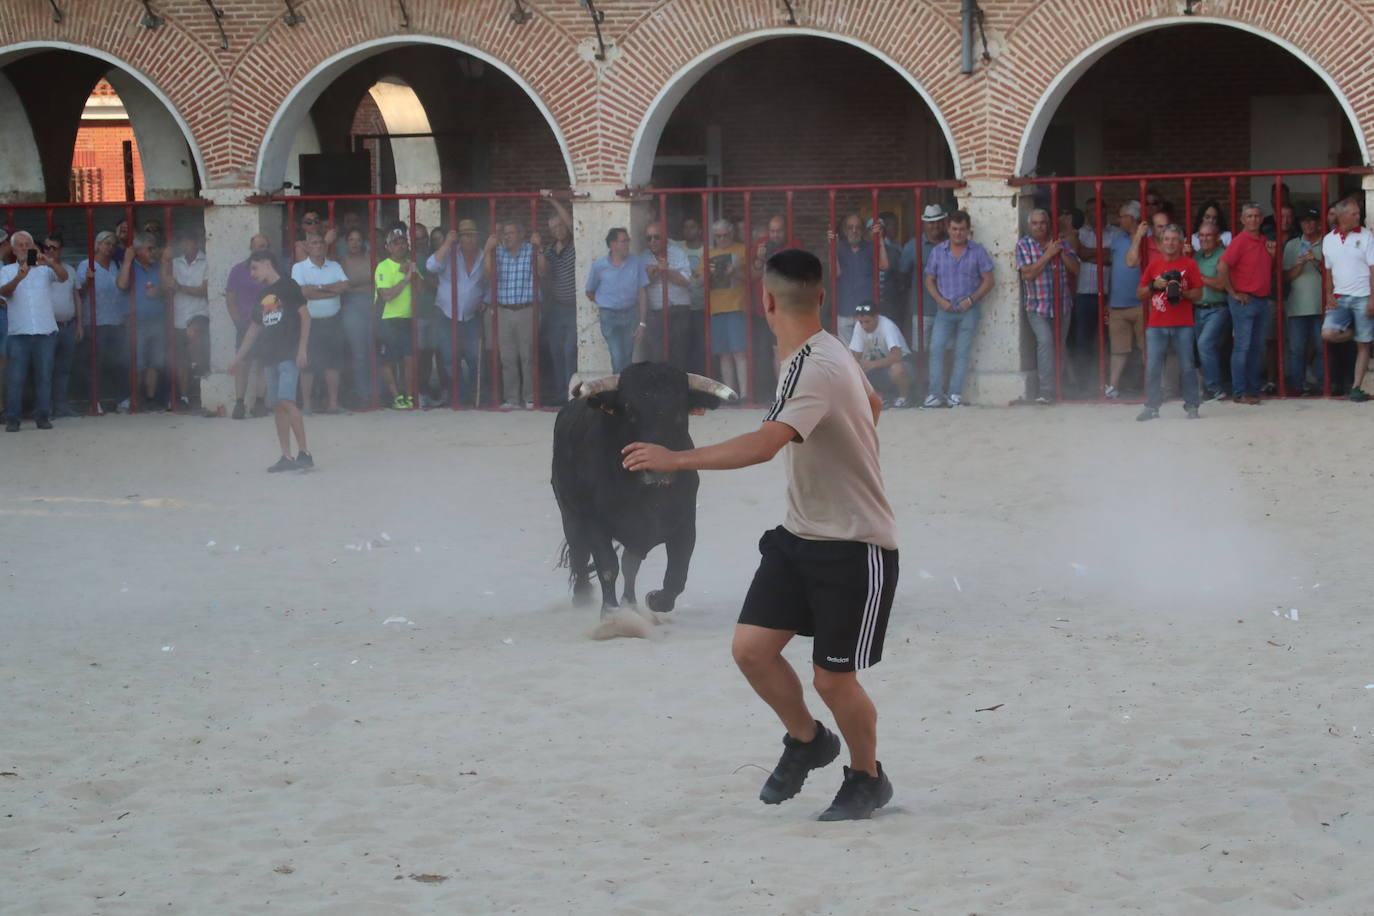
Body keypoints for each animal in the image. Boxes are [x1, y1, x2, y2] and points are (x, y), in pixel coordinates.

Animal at [549, 362, 736, 615]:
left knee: (630, 563)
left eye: (680, 408)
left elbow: (677, 573)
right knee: (579, 554)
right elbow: (607, 566)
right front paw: (611, 613)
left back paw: (630, 602)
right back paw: (582, 596)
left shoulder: (685, 522)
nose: (657, 469)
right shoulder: (593, 522)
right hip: (570, 515)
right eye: (629, 409)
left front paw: (655, 600)